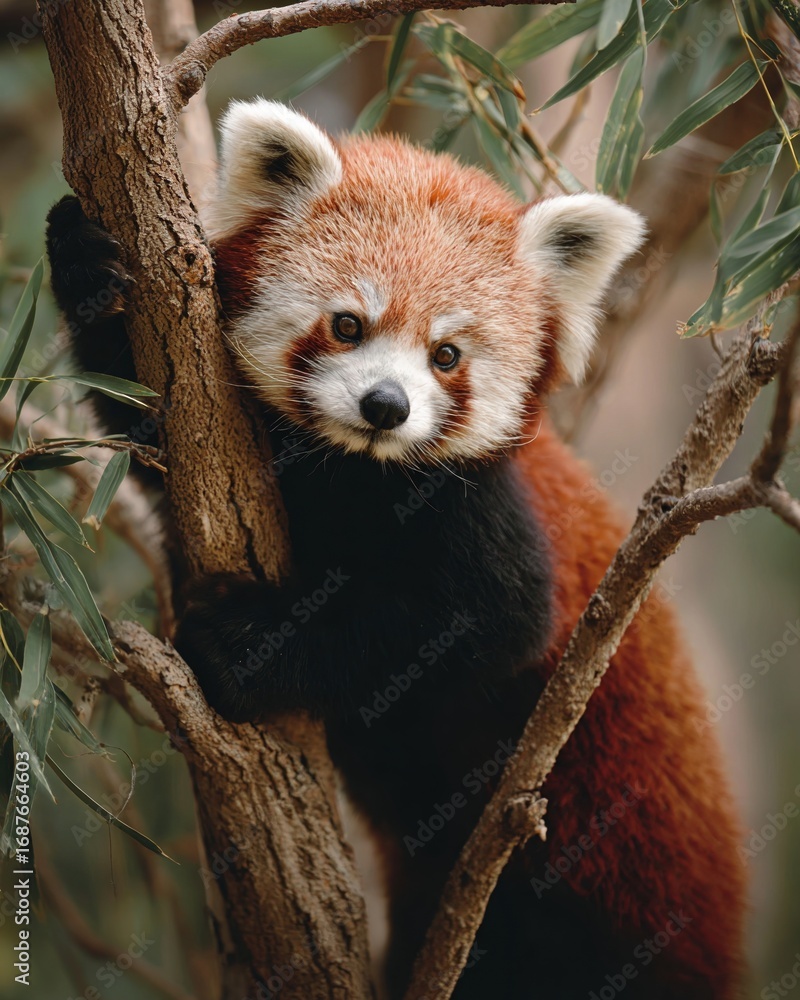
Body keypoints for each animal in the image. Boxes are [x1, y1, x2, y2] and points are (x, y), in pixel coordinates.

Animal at [46, 99, 746, 999]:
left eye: (447, 355)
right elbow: (145, 423)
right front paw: (85, 264)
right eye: (349, 324)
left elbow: (481, 623)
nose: (385, 405)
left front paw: (242, 645)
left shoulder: (484, 511)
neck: (352, 470)